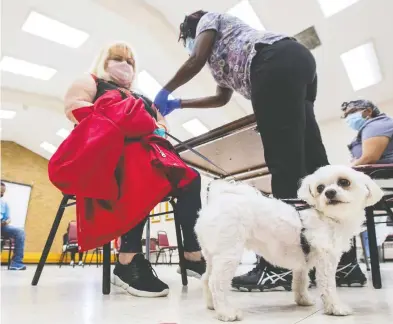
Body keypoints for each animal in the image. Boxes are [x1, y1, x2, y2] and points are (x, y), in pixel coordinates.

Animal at [196, 167, 382, 322]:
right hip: (229, 253)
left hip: (213, 255)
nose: (329, 192)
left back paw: (212, 305)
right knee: (216, 282)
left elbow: (301, 281)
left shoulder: (302, 263)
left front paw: (303, 300)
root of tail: (218, 200)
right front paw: (335, 308)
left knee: (206, 279)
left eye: (344, 182)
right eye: (320, 188)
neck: (327, 217)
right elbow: (328, 286)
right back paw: (226, 312)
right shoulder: (327, 259)